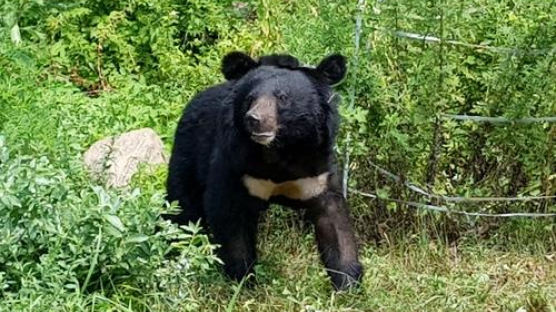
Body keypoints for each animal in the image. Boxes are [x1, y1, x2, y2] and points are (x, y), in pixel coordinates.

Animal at [167, 51, 362, 290]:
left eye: (283, 97)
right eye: (250, 98)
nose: (254, 119)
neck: (279, 150)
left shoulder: (318, 169)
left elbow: (334, 221)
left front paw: (347, 282)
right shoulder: (235, 163)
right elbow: (230, 216)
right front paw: (243, 279)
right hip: (189, 154)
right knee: (183, 208)